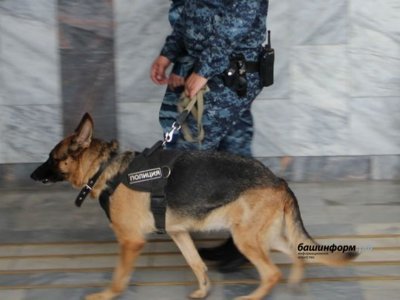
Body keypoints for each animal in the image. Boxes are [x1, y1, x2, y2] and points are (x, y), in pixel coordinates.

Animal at [30, 113, 356, 298]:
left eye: (51, 157)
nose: (32, 176)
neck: (105, 170)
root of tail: (279, 180)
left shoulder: (131, 242)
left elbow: (119, 277)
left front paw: (106, 295)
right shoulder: (179, 233)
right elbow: (197, 264)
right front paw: (203, 291)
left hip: (247, 239)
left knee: (272, 273)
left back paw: (251, 297)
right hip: (265, 237)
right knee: (296, 254)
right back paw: (296, 282)